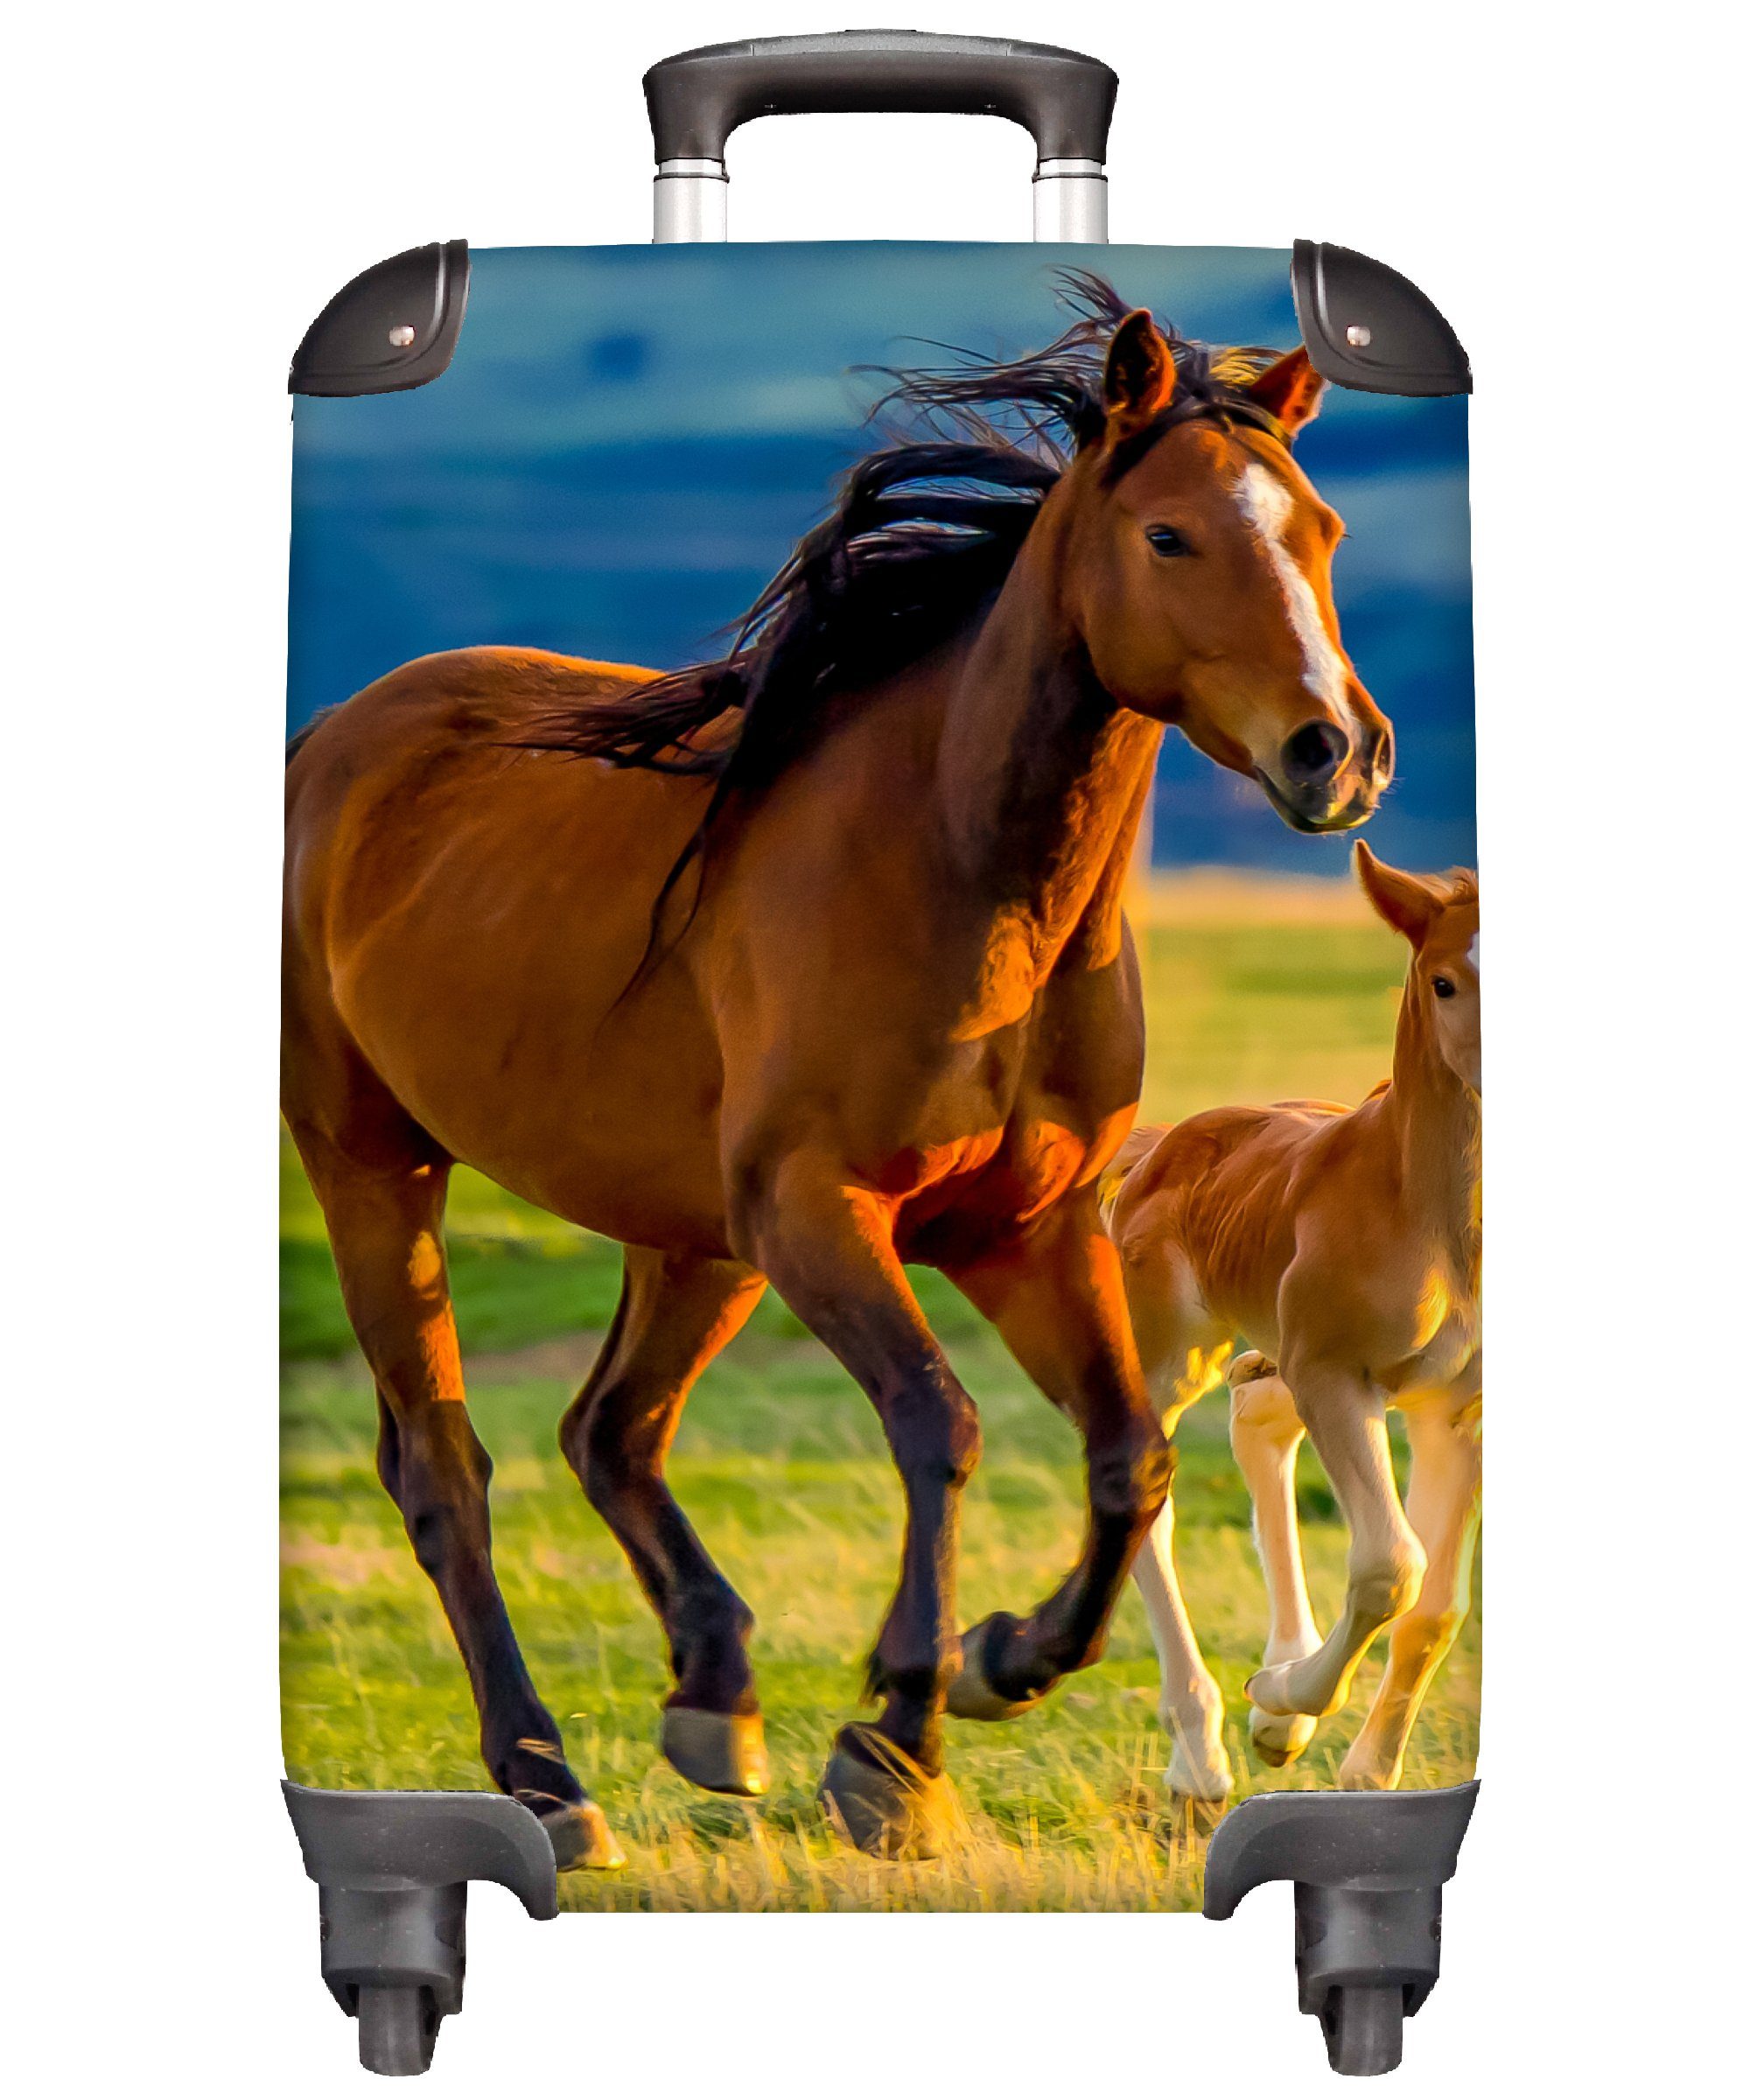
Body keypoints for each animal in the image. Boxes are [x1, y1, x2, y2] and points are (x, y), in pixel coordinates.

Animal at [282, 275, 1393, 1866]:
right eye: (1171, 535)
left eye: (1322, 531)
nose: (1336, 755)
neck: (962, 877)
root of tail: (336, 739)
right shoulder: (824, 1211)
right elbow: (942, 1426)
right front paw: (895, 1743)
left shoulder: (1025, 1229)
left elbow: (1129, 1458)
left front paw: (1001, 1664)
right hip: (379, 1167)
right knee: (445, 1469)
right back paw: (548, 1781)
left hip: (693, 1235)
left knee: (610, 1430)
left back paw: (715, 1697)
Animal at [1103, 845, 1479, 1807]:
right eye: (1444, 980)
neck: (1429, 1215)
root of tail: (1160, 1144)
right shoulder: (1335, 1377)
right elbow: (1391, 1567)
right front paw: (1277, 1698)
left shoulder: (1455, 1411)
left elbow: (1432, 1607)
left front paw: (1360, 1771)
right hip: (1173, 1355)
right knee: (1146, 1495)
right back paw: (1202, 1753)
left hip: (1276, 1352)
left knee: (1255, 1418)